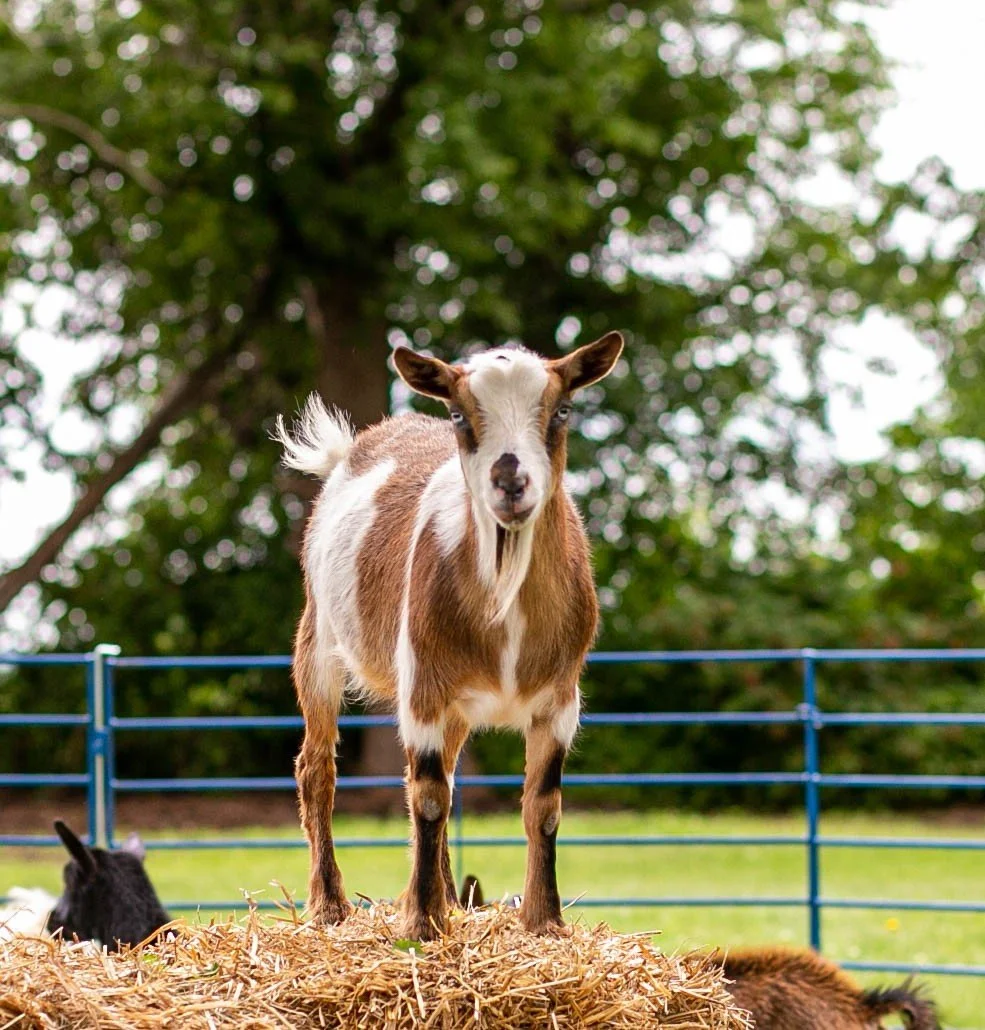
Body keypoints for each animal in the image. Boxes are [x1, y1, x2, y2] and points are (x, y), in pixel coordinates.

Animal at [275, 333, 623, 940]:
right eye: (460, 414)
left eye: (561, 410)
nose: (511, 482)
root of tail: (353, 450)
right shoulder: (423, 686)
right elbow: (431, 799)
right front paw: (421, 922)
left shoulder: (560, 699)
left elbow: (544, 805)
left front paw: (544, 921)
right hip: (318, 635)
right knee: (318, 767)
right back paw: (330, 906)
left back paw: (450, 899)